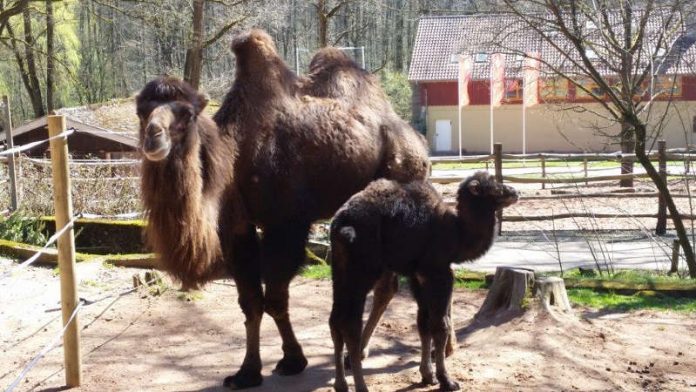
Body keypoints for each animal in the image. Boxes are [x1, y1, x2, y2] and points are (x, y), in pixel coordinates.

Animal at [212, 29, 430, 388]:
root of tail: (420, 145)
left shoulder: (286, 223)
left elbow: (274, 298)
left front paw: (292, 361)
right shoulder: (238, 226)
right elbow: (250, 301)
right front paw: (246, 372)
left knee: (387, 284)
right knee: (386, 285)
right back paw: (358, 354)